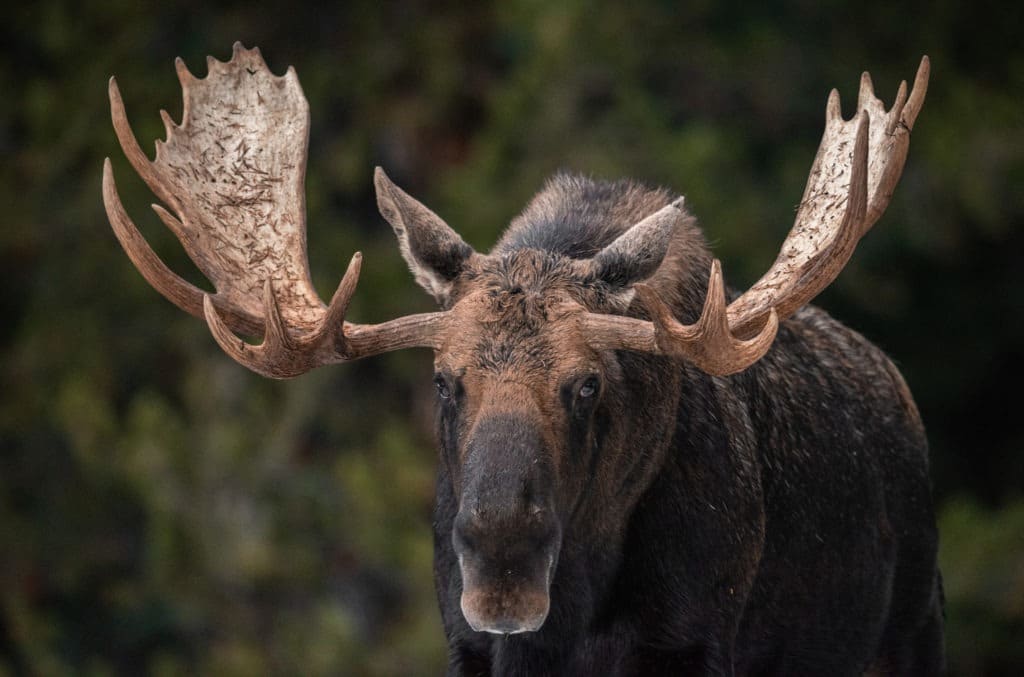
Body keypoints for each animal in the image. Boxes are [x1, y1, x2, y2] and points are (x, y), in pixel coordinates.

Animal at [101, 44, 942, 671]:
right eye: (443, 380)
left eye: (588, 384)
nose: (503, 557)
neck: (576, 613)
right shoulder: (471, 647)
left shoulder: (694, 638)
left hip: (910, 629)